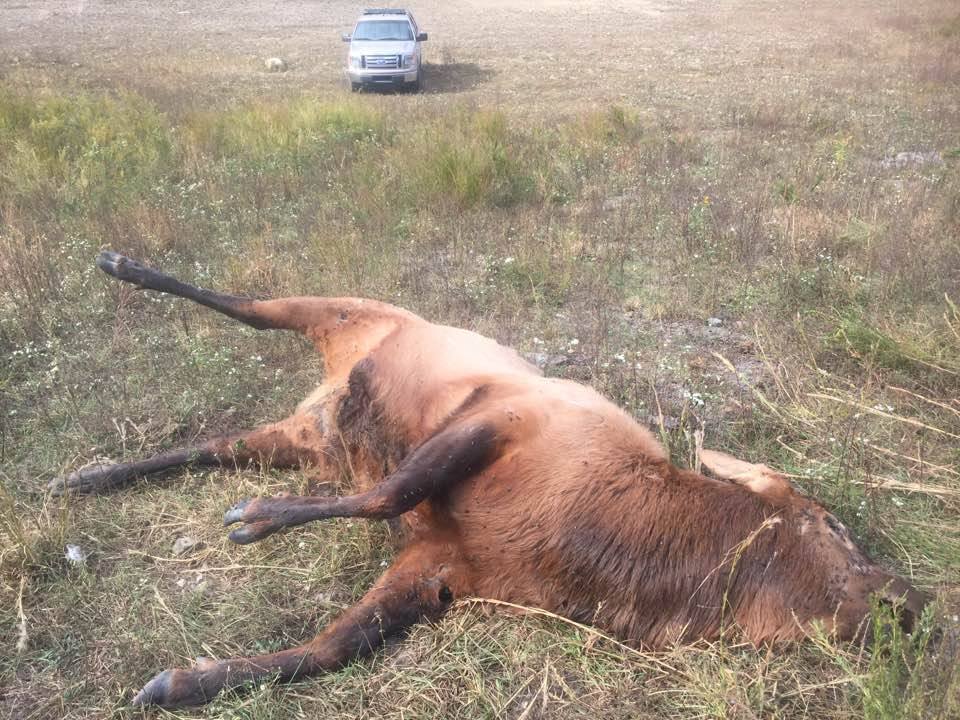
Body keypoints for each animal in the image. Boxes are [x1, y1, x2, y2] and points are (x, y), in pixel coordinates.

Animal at [50, 252, 928, 708]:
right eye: (837, 526)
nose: (919, 602)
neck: (610, 546)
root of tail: (324, 395)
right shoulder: (501, 417)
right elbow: (392, 493)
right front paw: (257, 520)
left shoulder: (440, 567)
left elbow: (326, 650)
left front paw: (182, 681)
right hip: (349, 310)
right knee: (250, 302)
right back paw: (123, 265)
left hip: (305, 437)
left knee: (212, 445)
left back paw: (87, 476)